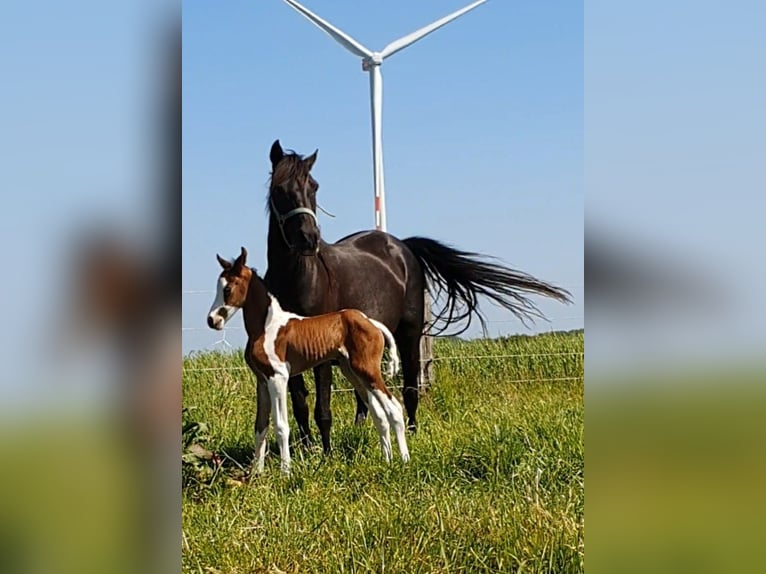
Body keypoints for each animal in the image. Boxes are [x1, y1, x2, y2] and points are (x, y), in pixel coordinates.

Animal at [207, 247, 410, 473]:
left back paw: (404, 461)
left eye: (227, 289)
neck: (266, 326)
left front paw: (285, 471)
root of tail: (370, 321)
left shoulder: (278, 378)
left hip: (368, 370)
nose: (212, 320)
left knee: (394, 408)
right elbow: (260, 427)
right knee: (379, 414)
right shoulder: (262, 380)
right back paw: (387, 460)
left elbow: (281, 426)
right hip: (353, 372)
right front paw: (256, 473)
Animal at [263, 139, 573, 454]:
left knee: (410, 386)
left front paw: (325, 452)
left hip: (409, 334)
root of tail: (402, 246)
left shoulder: (322, 355)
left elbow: (322, 408)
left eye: (314, 186)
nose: (308, 239)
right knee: (365, 398)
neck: (298, 277)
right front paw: (306, 447)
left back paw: (411, 431)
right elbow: (300, 403)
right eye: (280, 189)